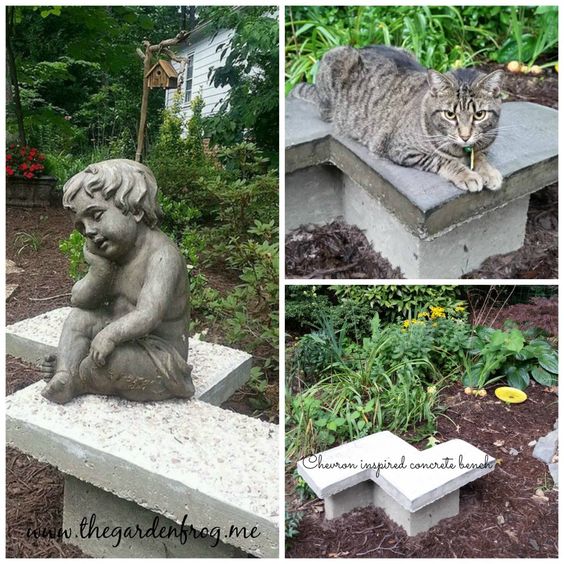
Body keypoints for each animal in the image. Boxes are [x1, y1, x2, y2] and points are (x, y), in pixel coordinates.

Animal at [288, 44, 504, 194]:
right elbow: (443, 160)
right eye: (450, 115)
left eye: (479, 115)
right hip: (337, 57)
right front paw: (467, 175)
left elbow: (481, 155)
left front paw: (488, 172)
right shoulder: (402, 149)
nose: (465, 136)